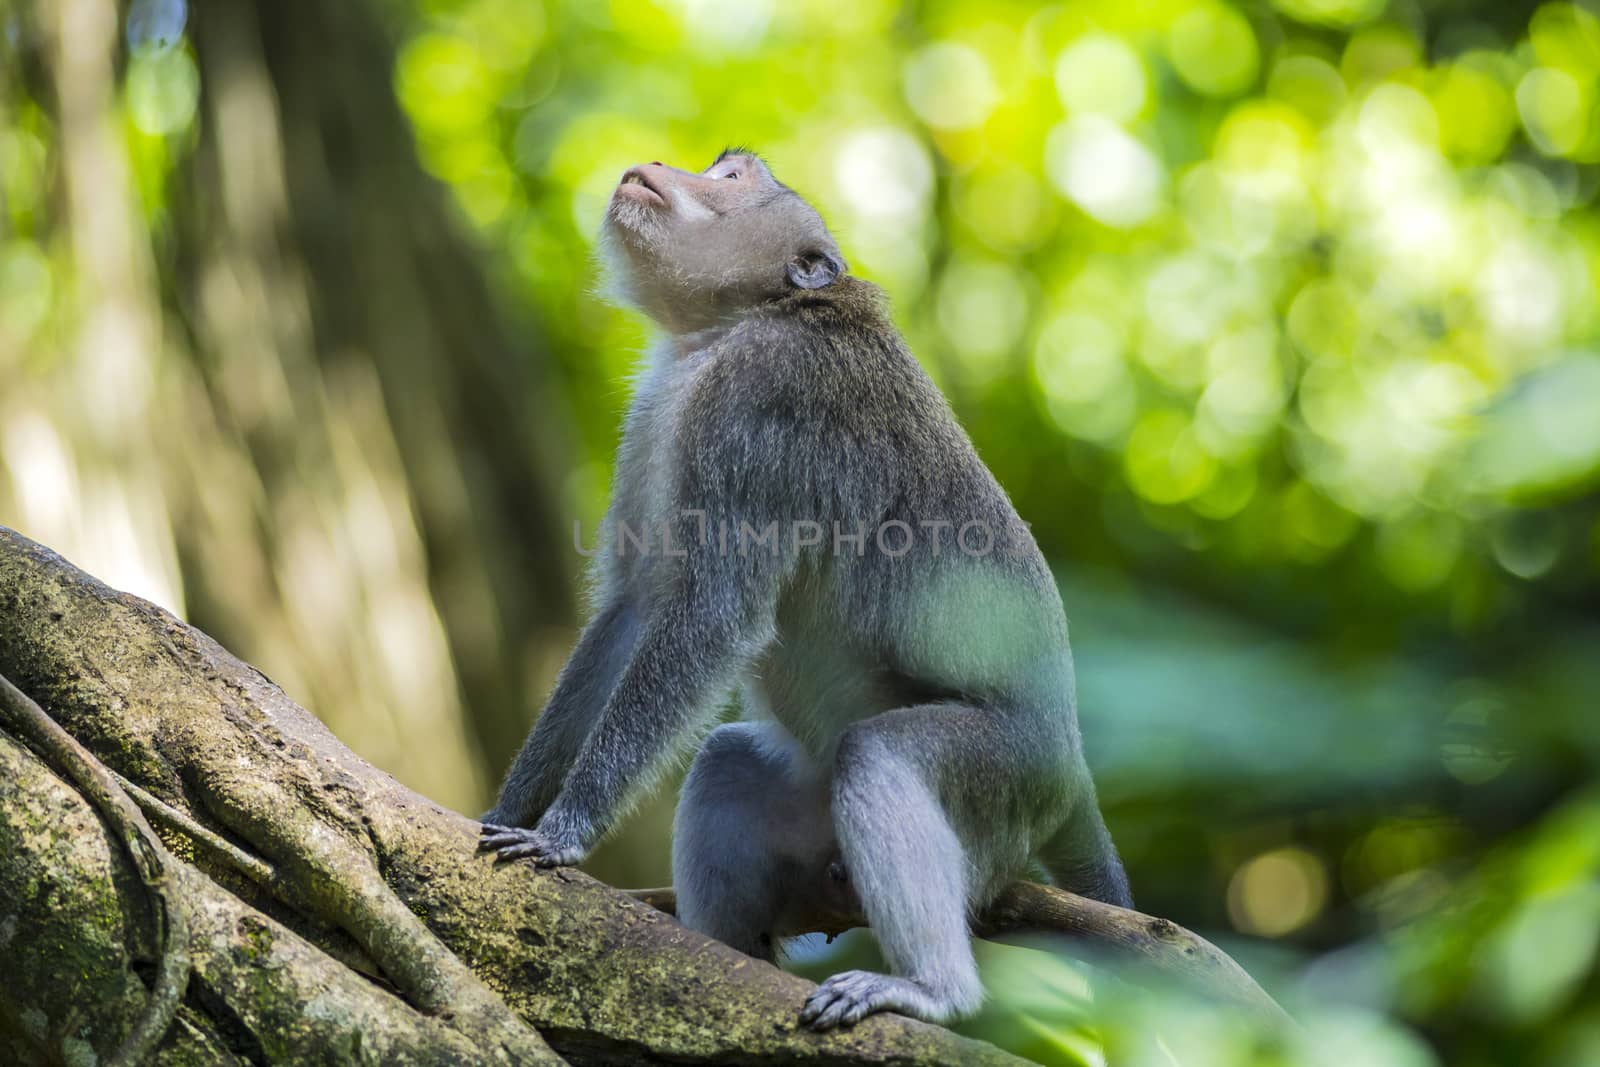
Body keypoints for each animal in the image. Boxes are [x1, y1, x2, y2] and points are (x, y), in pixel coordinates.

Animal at [480, 147, 1132, 1023]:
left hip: (1009, 781)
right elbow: (632, 610)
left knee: (879, 754)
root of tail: (1072, 760)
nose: (655, 161)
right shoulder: (656, 413)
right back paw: (729, 955)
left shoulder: (761, 402)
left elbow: (713, 615)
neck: (732, 325)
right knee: (726, 759)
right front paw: (508, 808)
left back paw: (931, 989)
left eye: (734, 177)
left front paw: (564, 831)